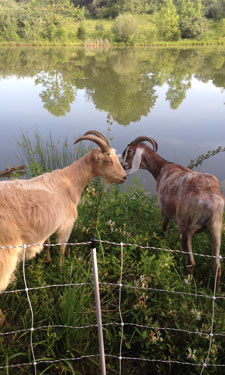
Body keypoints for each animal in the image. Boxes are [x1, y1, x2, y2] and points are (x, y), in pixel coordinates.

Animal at [0, 131, 126, 294]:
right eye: (108, 160)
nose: (124, 177)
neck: (70, 181)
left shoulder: (49, 225)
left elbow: (48, 244)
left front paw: (48, 260)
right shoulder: (66, 224)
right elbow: (62, 247)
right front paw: (61, 267)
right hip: (5, 258)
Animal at [122, 138, 224, 288]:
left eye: (129, 150)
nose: (122, 165)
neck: (163, 168)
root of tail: (211, 203)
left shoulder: (164, 211)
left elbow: (164, 231)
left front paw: (163, 248)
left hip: (185, 228)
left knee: (190, 263)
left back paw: (184, 284)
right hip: (216, 229)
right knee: (216, 266)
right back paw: (215, 291)